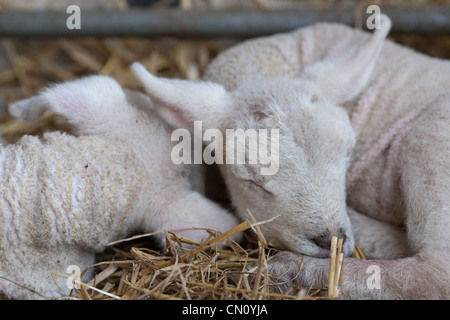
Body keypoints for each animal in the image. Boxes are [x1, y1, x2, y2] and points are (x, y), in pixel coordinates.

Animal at [132, 14, 450, 300]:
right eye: (250, 181)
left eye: (348, 153)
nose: (330, 242)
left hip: (430, 141)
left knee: (434, 275)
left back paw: (283, 271)